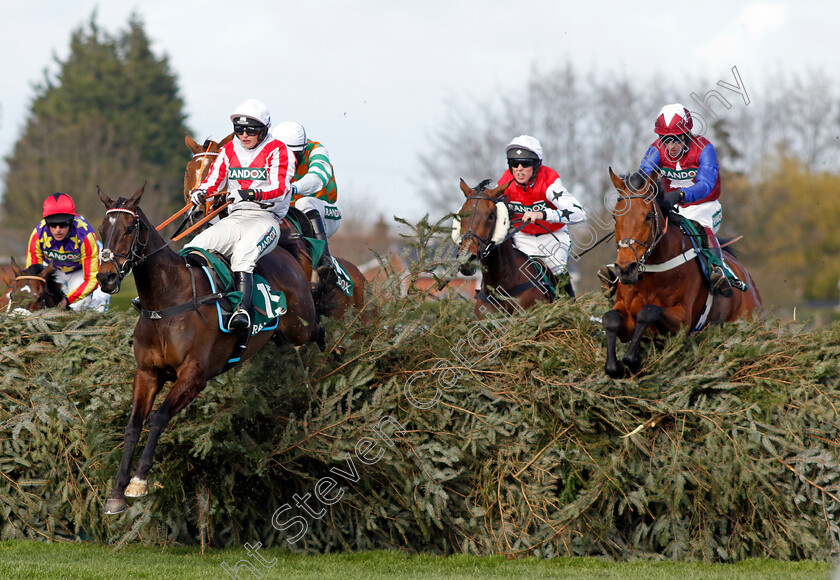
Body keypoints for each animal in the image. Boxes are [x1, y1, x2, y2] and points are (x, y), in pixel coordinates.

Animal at [97, 184, 324, 516]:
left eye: (128, 229)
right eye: (102, 230)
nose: (106, 277)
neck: (167, 302)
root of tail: (285, 250)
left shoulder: (194, 376)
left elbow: (159, 417)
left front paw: (139, 481)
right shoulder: (148, 373)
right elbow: (134, 424)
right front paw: (117, 491)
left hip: (300, 324)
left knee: (320, 331)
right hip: (282, 336)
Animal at [600, 169, 764, 376]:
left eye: (648, 216)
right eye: (615, 217)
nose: (625, 269)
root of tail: (747, 279)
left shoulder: (682, 318)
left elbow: (648, 312)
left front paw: (633, 359)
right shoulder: (626, 312)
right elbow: (610, 318)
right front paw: (614, 366)